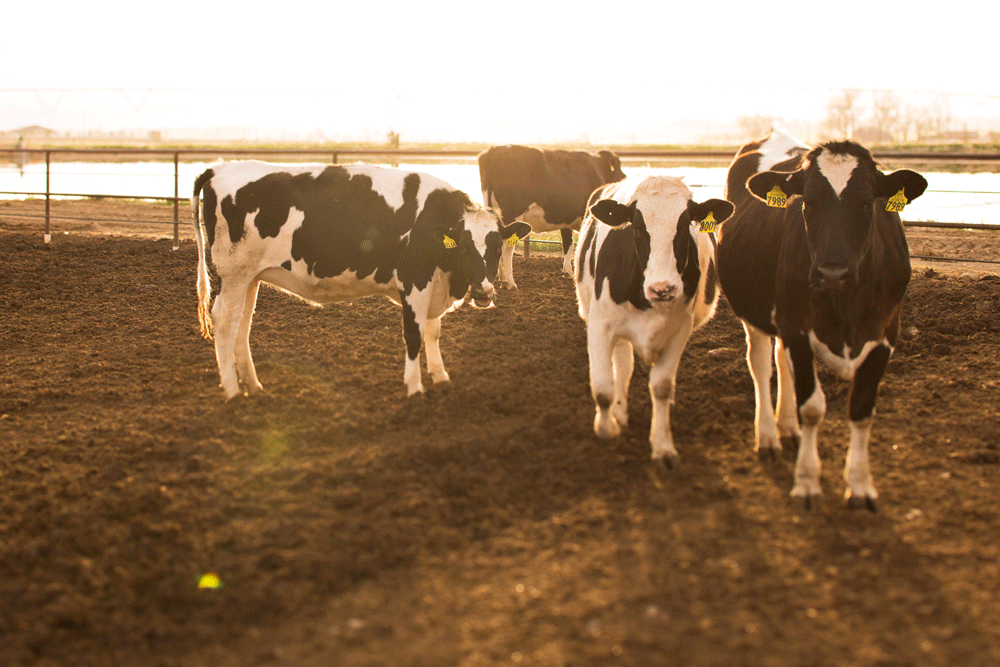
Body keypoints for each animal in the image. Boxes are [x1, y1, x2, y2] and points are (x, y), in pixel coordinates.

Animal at [189, 160, 532, 402]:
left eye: (497, 247)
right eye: (463, 247)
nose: (484, 292)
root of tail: (219, 167)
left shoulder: (434, 283)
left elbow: (433, 333)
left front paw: (441, 376)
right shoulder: (414, 282)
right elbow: (414, 335)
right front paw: (415, 388)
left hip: (250, 278)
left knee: (242, 323)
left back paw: (253, 384)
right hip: (234, 273)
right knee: (224, 321)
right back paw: (233, 391)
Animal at [476, 146, 624, 288]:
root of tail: (494, 150)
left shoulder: (566, 220)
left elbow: (568, 244)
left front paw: (568, 272)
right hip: (512, 215)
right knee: (507, 248)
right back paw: (509, 282)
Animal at [580, 175, 736, 468]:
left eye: (685, 224)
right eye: (637, 227)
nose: (662, 289)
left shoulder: (679, 329)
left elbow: (662, 387)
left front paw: (663, 446)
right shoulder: (600, 324)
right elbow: (603, 388)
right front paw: (608, 429)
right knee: (622, 364)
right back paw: (619, 413)